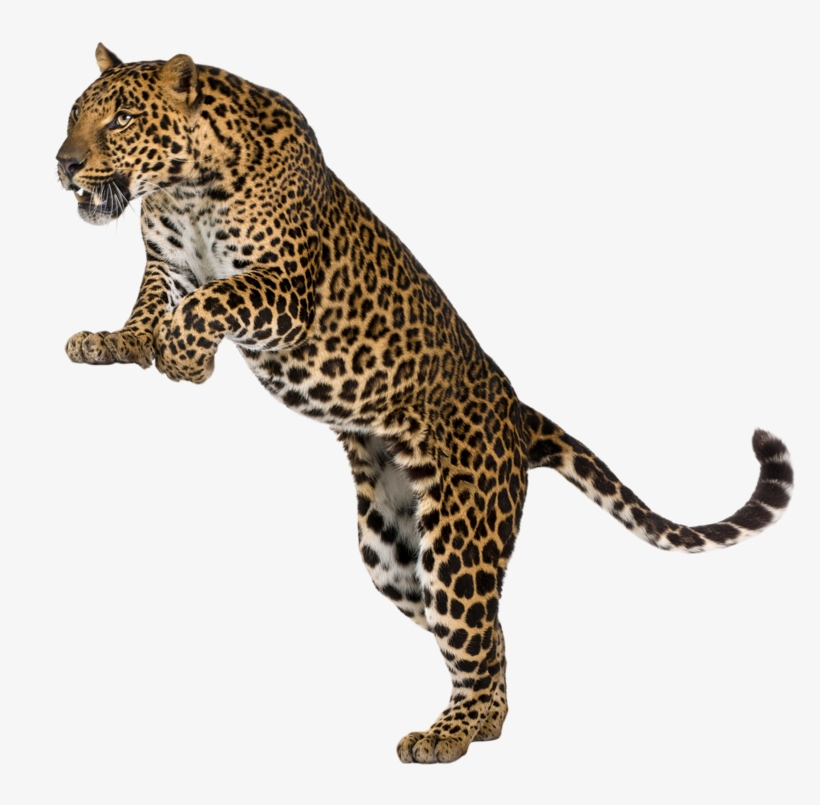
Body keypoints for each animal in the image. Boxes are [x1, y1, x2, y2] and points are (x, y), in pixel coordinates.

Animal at [56, 44, 794, 764]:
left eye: (122, 119)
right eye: (75, 115)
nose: (63, 164)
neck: (183, 188)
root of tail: (516, 412)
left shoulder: (286, 288)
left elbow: (212, 301)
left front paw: (186, 359)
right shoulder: (168, 263)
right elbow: (153, 301)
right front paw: (117, 342)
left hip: (460, 535)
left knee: (478, 629)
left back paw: (451, 733)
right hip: (393, 551)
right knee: (488, 637)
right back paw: (477, 723)